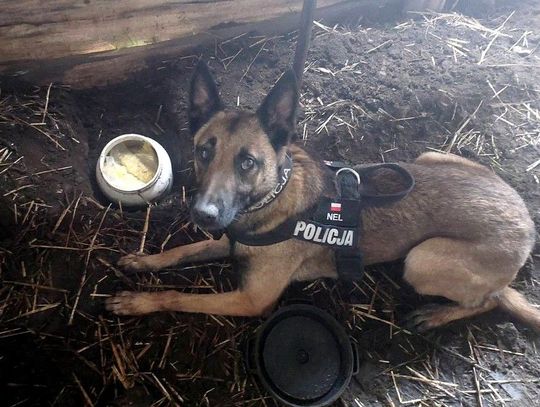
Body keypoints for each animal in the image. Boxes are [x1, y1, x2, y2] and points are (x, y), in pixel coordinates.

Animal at [106, 61, 540, 334]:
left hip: (422, 259)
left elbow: (178, 295)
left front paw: (140, 302)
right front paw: (144, 260)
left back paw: (436, 315)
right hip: (428, 158)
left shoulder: (250, 300)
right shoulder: (227, 240)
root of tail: (525, 221)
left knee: (490, 299)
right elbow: (180, 252)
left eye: (247, 162)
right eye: (203, 152)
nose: (203, 214)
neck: (271, 198)